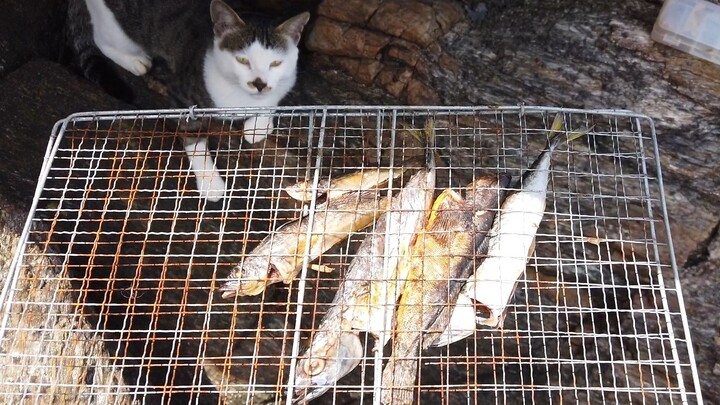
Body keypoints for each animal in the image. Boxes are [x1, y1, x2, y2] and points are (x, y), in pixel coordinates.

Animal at [71, 0, 310, 202]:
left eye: (276, 63)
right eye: (242, 60)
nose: (259, 83)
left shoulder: (288, 79)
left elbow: (274, 97)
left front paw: (258, 126)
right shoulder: (182, 96)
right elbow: (194, 139)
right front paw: (211, 183)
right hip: (118, 29)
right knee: (102, 40)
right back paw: (135, 61)